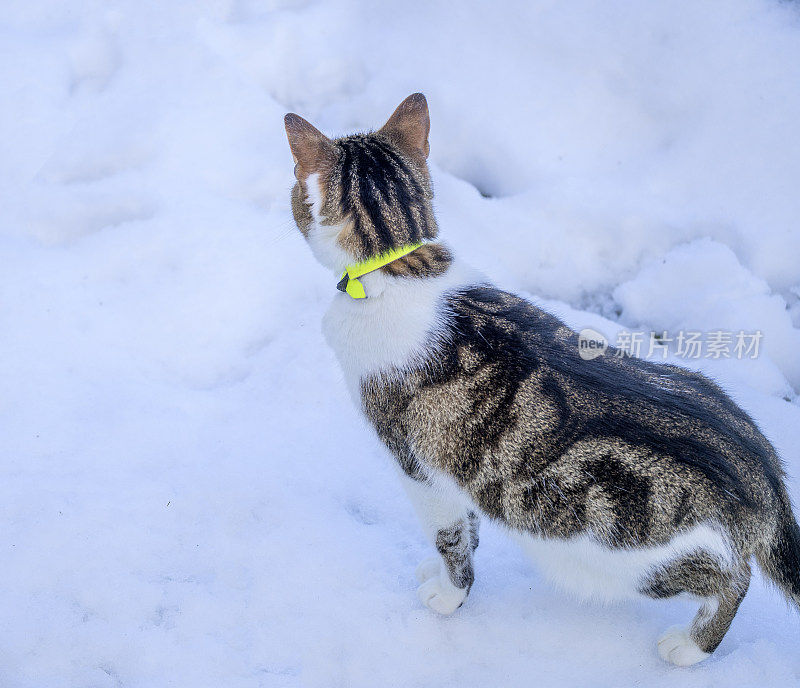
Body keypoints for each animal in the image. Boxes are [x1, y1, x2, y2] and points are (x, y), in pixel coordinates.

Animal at [284, 94, 796, 664]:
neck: (401, 268)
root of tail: (762, 469)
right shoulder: (460, 466)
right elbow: (470, 524)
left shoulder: (418, 467)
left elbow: (450, 537)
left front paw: (449, 593)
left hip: (624, 557)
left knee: (733, 578)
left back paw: (690, 645)